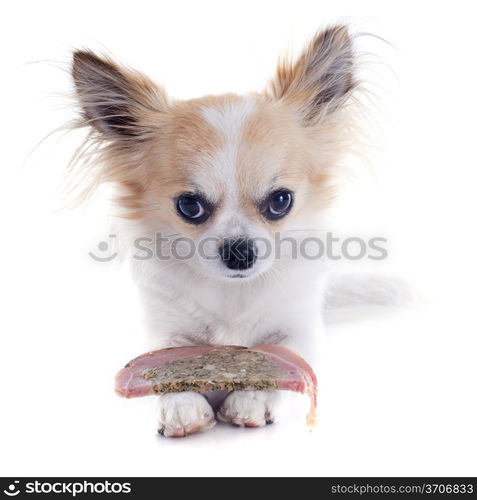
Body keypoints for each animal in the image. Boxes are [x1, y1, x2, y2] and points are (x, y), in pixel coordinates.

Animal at [69, 25, 360, 436]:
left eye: (281, 200)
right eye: (189, 206)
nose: (239, 252)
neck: (232, 295)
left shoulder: (299, 328)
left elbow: (284, 361)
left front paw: (252, 399)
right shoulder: (166, 329)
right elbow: (166, 362)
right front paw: (182, 405)